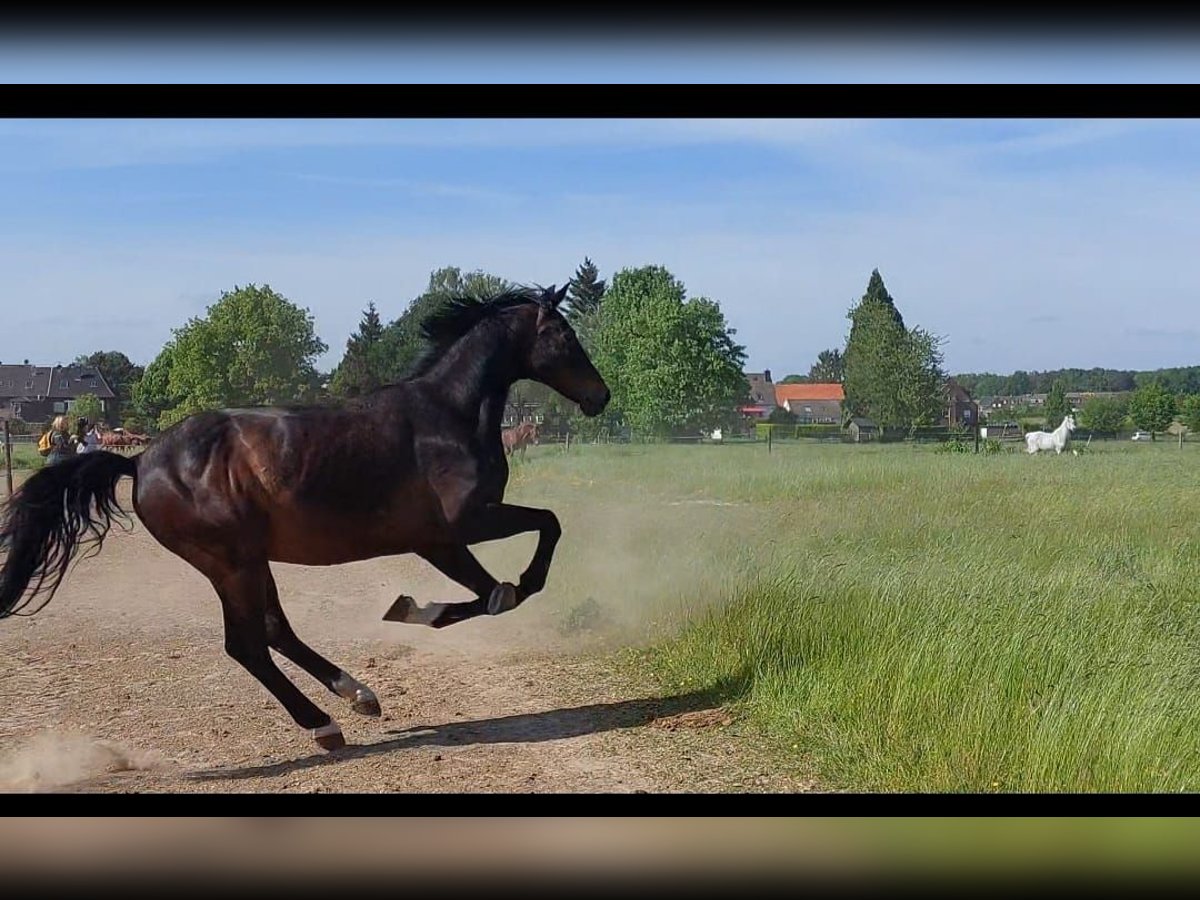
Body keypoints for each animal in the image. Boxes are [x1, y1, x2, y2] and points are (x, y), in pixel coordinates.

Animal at [0, 283, 609, 752]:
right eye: (563, 335)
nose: (600, 396)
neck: (447, 417)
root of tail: (140, 460)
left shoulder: (441, 539)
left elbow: (502, 580)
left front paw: (413, 608)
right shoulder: (457, 528)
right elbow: (515, 572)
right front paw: (419, 608)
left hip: (248, 561)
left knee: (274, 631)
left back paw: (357, 694)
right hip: (230, 564)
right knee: (247, 645)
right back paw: (324, 725)